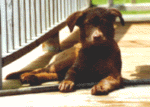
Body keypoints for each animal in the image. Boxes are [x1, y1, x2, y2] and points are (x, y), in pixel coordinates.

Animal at [6, 7, 150, 95]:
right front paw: (67, 83)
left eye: (104, 23)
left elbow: (107, 80)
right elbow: (70, 75)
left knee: (54, 74)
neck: (96, 52)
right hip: (66, 59)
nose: (97, 37)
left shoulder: (115, 74)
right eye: (87, 24)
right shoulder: (74, 68)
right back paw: (27, 76)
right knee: (44, 69)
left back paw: (32, 78)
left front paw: (100, 86)